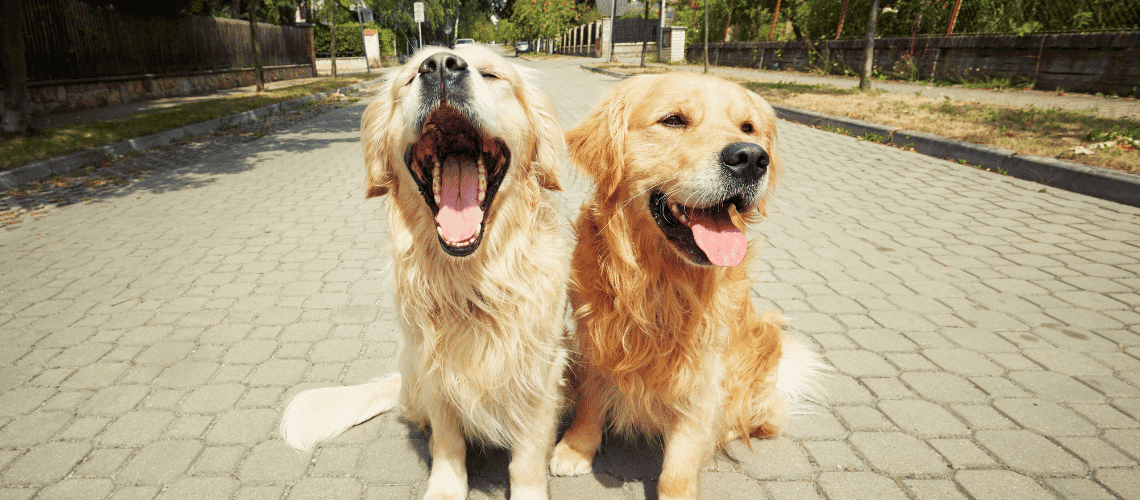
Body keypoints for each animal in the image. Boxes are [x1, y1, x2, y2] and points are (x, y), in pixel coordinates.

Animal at [279, 46, 570, 500]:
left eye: (492, 74)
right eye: (410, 76)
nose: (441, 67)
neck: (471, 281)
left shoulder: (540, 371)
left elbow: (527, 457)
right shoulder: (435, 369)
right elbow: (449, 444)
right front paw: (445, 487)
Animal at [547, 73, 825, 500]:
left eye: (747, 127)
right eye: (674, 120)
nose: (751, 158)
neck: (660, 280)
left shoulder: (704, 367)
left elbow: (682, 454)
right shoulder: (595, 338)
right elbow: (592, 400)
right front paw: (576, 448)